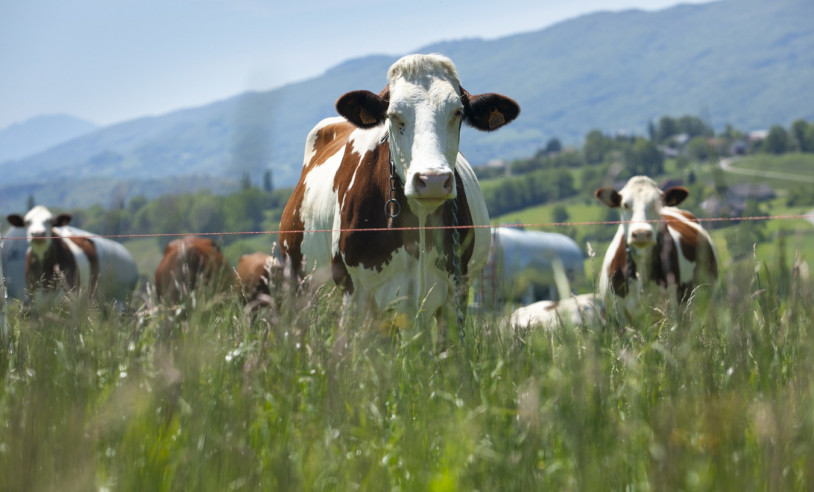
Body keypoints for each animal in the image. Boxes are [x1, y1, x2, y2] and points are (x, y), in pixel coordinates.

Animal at [280, 52, 524, 332]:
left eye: (458, 112)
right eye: (394, 114)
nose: (432, 180)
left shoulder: (455, 293)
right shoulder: (354, 295)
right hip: (300, 290)